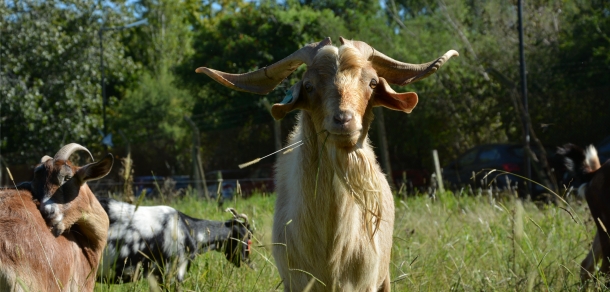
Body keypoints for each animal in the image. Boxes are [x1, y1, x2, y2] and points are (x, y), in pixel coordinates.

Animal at [195, 37, 456, 290]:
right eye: (309, 86)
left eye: (372, 83)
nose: (343, 120)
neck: (331, 251)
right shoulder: (295, 282)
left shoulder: (367, 282)